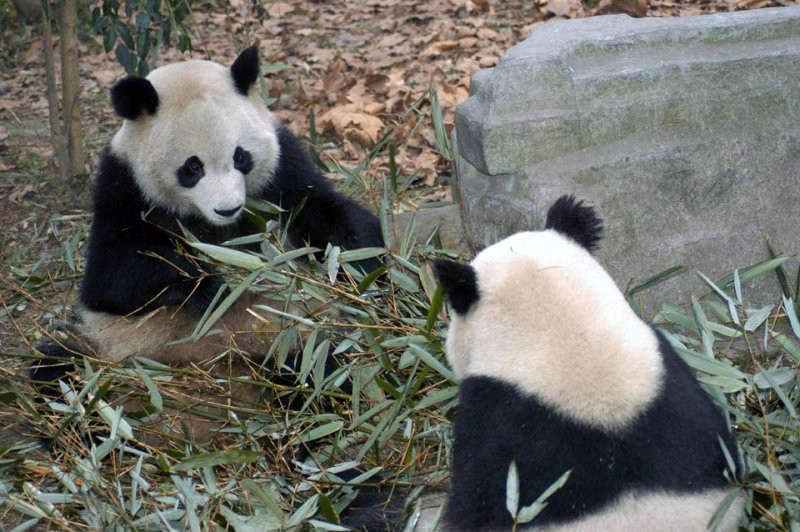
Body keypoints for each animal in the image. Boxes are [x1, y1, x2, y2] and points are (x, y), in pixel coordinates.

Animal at [31, 46, 383, 440]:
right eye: (192, 167)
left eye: (241, 156)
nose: (228, 208)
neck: (209, 224)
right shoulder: (122, 187)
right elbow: (111, 278)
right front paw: (210, 286)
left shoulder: (283, 169)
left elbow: (329, 214)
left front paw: (364, 273)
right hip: (111, 352)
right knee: (58, 371)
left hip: (291, 341)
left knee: (322, 371)